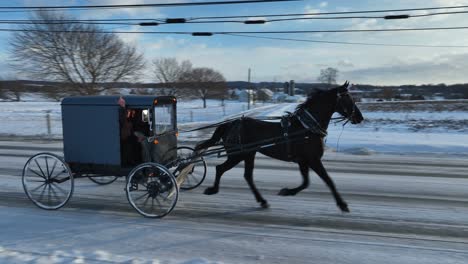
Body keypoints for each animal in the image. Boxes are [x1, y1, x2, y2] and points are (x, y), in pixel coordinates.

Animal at [196, 81, 364, 212]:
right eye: (348, 98)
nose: (360, 117)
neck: (306, 128)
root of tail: (231, 124)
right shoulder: (313, 159)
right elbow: (328, 180)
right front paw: (342, 204)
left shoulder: (304, 161)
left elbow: (306, 182)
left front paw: (288, 191)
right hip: (237, 154)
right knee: (220, 169)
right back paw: (213, 189)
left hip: (249, 154)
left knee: (247, 176)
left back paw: (262, 201)